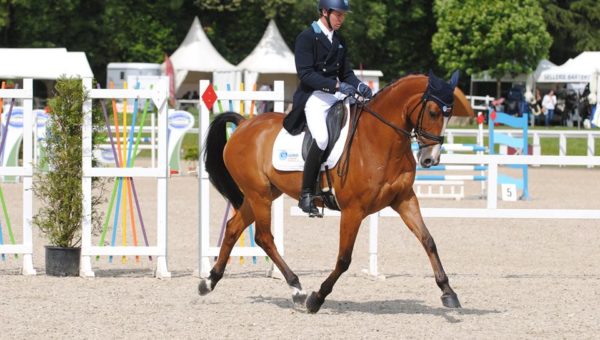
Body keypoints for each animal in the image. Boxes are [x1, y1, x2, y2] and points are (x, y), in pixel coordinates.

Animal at [200, 71, 468, 314]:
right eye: (433, 112)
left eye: (449, 114)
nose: (430, 159)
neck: (378, 138)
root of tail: (245, 123)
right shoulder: (353, 210)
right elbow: (344, 259)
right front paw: (316, 298)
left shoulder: (404, 199)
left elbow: (428, 241)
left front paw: (448, 292)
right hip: (260, 195)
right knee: (264, 237)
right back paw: (297, 290)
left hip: (262, 194)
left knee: (233, 227)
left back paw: (209, 281)